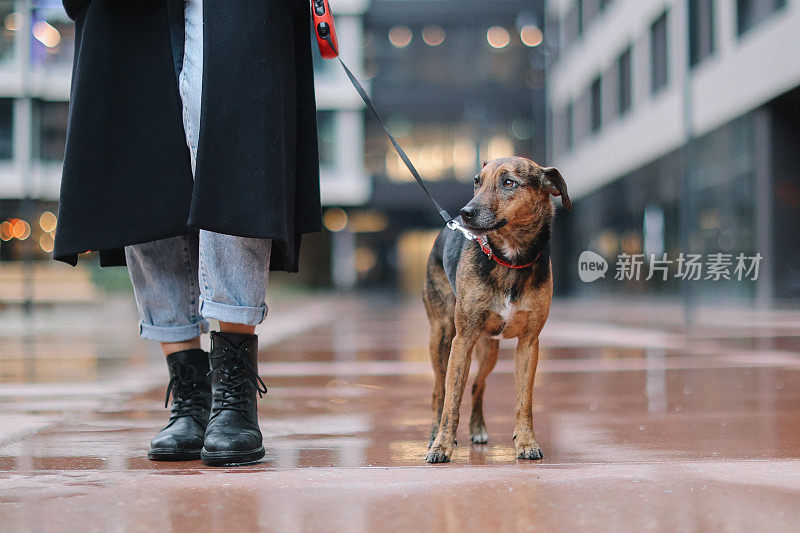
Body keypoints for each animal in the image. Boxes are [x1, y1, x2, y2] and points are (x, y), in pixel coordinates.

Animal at [422, 157, 572, 462]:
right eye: (476, 182)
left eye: (509, 182)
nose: (465, 213)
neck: (510, 259)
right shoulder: (462, 339)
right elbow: (452, 400)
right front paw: (442, 445)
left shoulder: (529, 343)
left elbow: (524, 401)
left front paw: (526, 442)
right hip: (442, 337)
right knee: (439, 390)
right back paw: (433, 434)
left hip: (489, 348)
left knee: (478, 385)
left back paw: (478, 428)